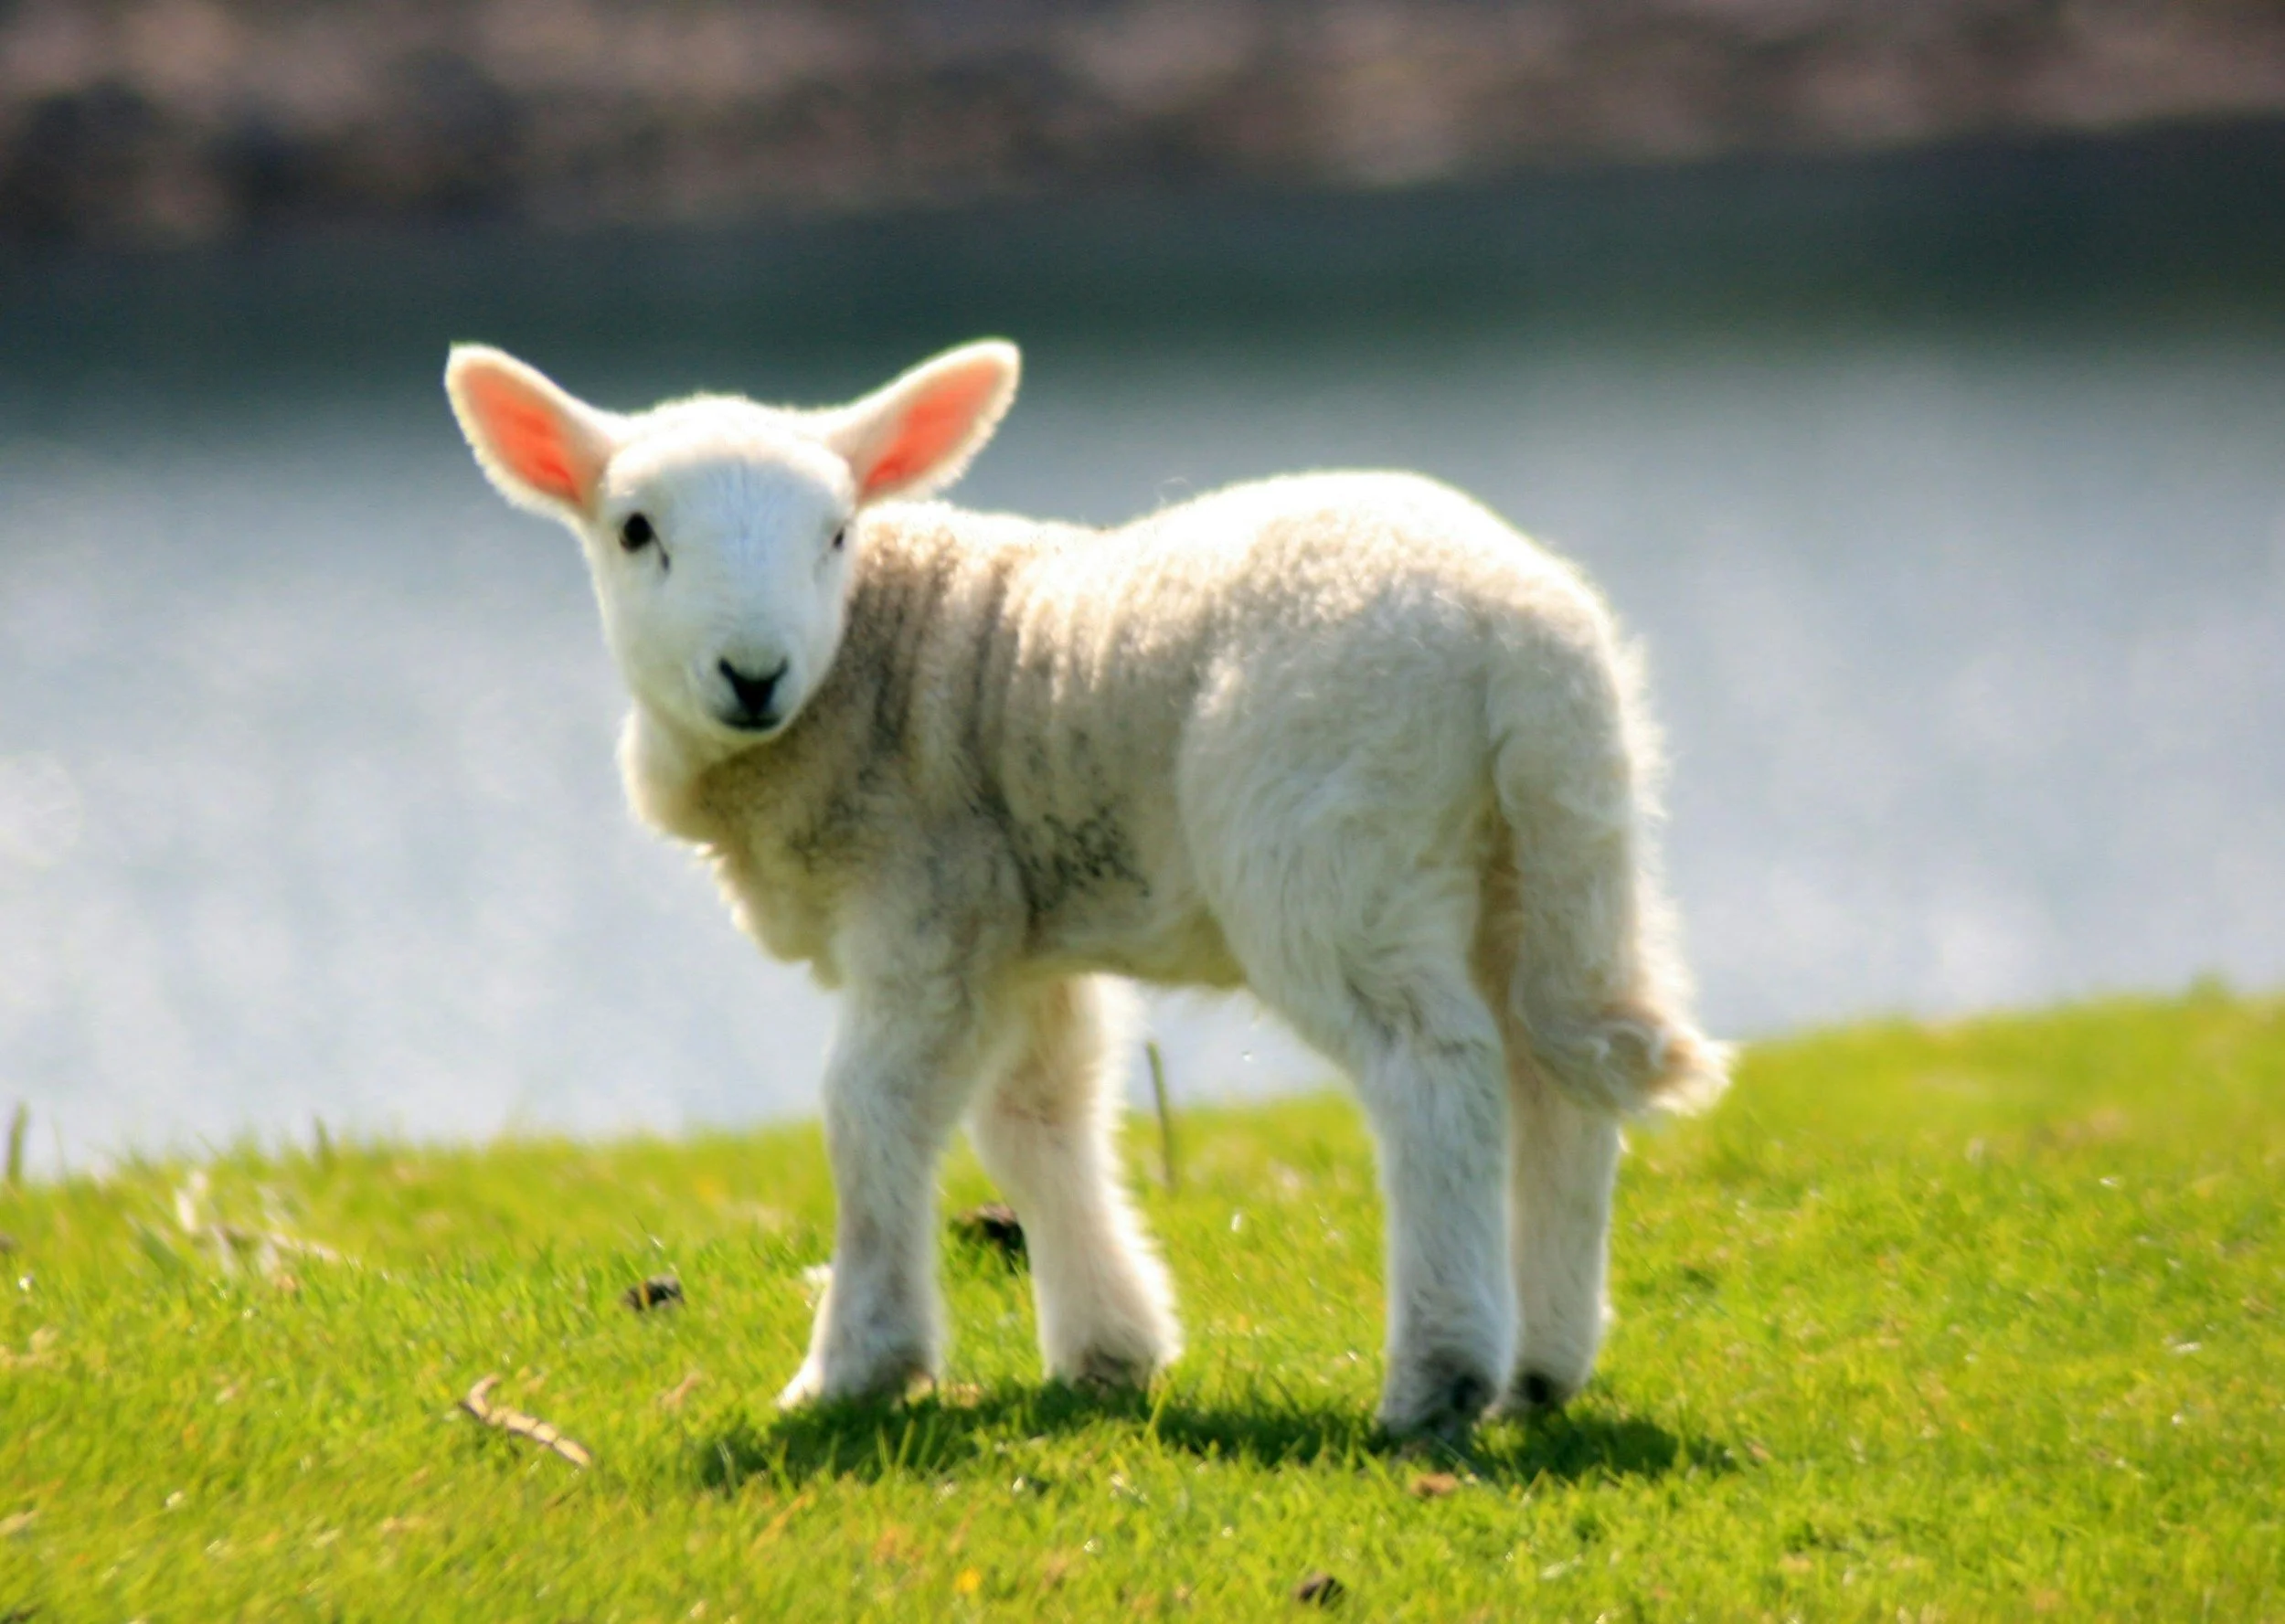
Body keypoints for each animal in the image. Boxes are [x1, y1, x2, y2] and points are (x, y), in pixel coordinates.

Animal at [443, 336, 1729, 1439]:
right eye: (635, 530)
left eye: (838, 532)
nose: (751, 674)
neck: (874, 659)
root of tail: (1520, 641)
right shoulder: (1013, 925)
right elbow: (1036, 1113)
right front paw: (1109, 1347)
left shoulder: (926, 902)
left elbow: (872, 1112)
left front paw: (855, 1368)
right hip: (1549, 848)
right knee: (1554, 1076)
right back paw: (1542, 1367)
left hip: (1334, 842)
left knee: (1437, 1070)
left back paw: (1439, 1377)